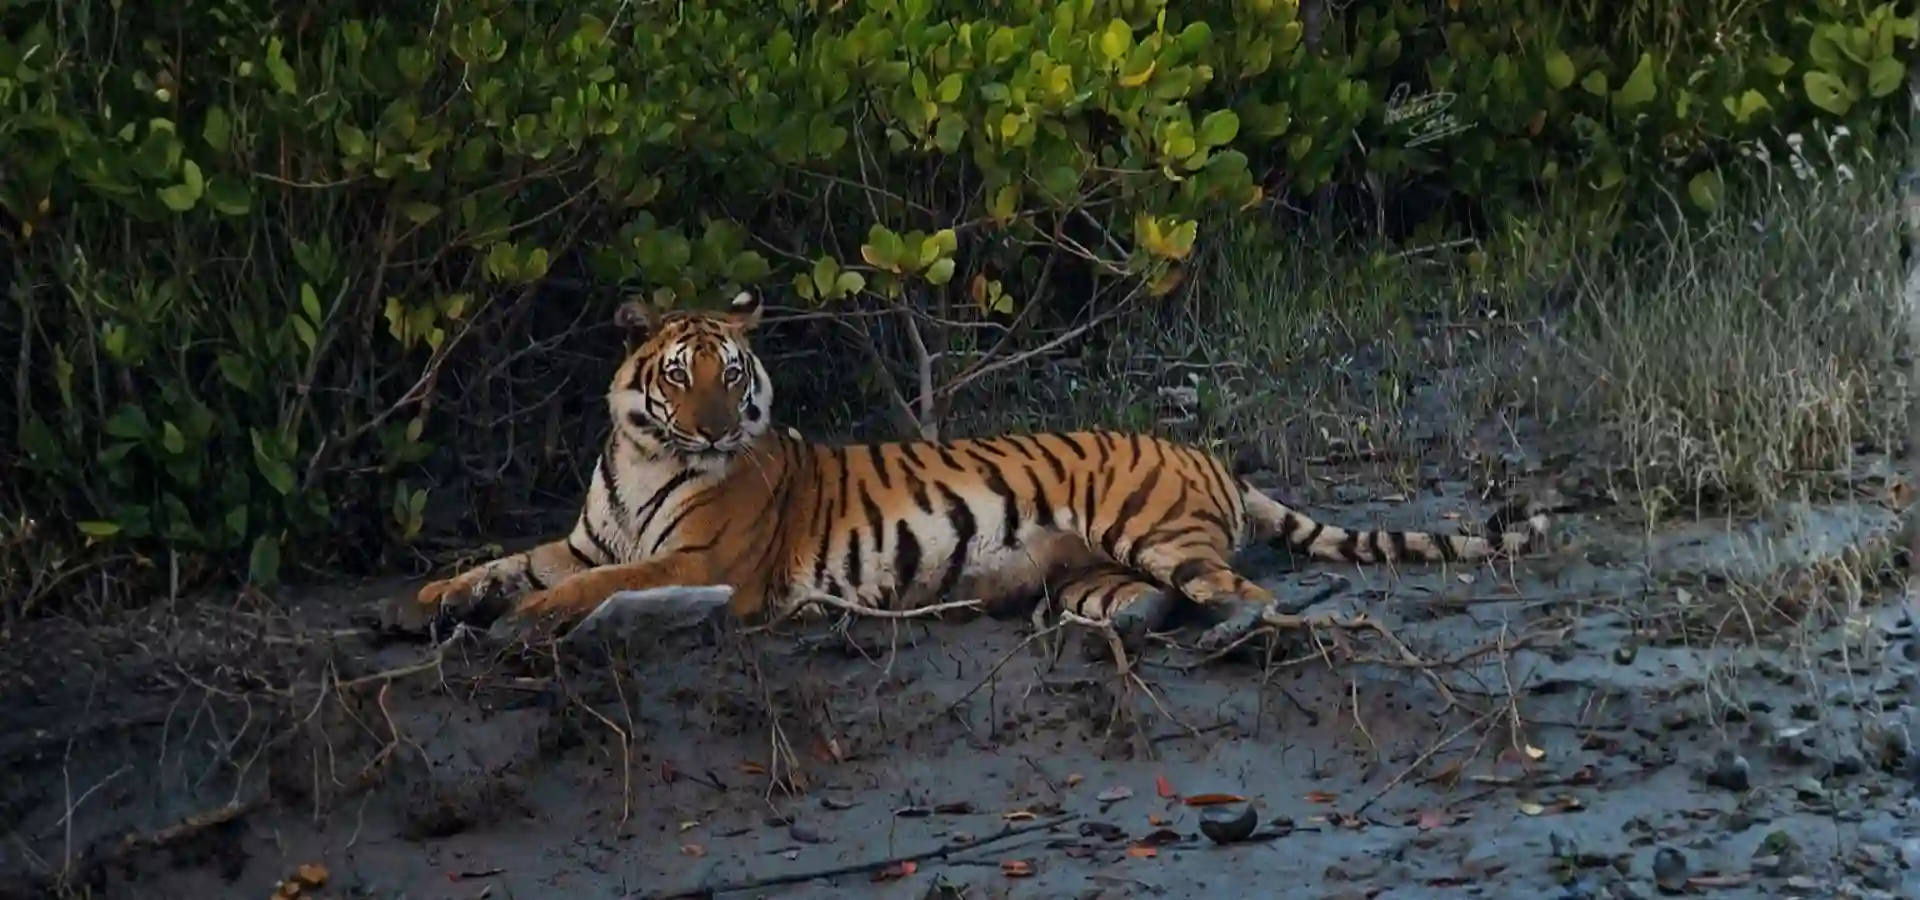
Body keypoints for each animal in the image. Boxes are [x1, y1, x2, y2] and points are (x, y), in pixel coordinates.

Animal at [394, 290, 1551, 651]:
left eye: (734, 373)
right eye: (682, 376)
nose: (718, 429)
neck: (641, 456)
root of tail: (1205, 453)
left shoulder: (707, 561)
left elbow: (597, 585)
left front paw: (521, 621)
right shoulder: (583, 536)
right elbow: (509, 562)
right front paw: (426, 602)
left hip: (1150, 528)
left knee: (1248, 593)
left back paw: (1242, 635)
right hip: (1095, 565)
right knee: (1153, 601)